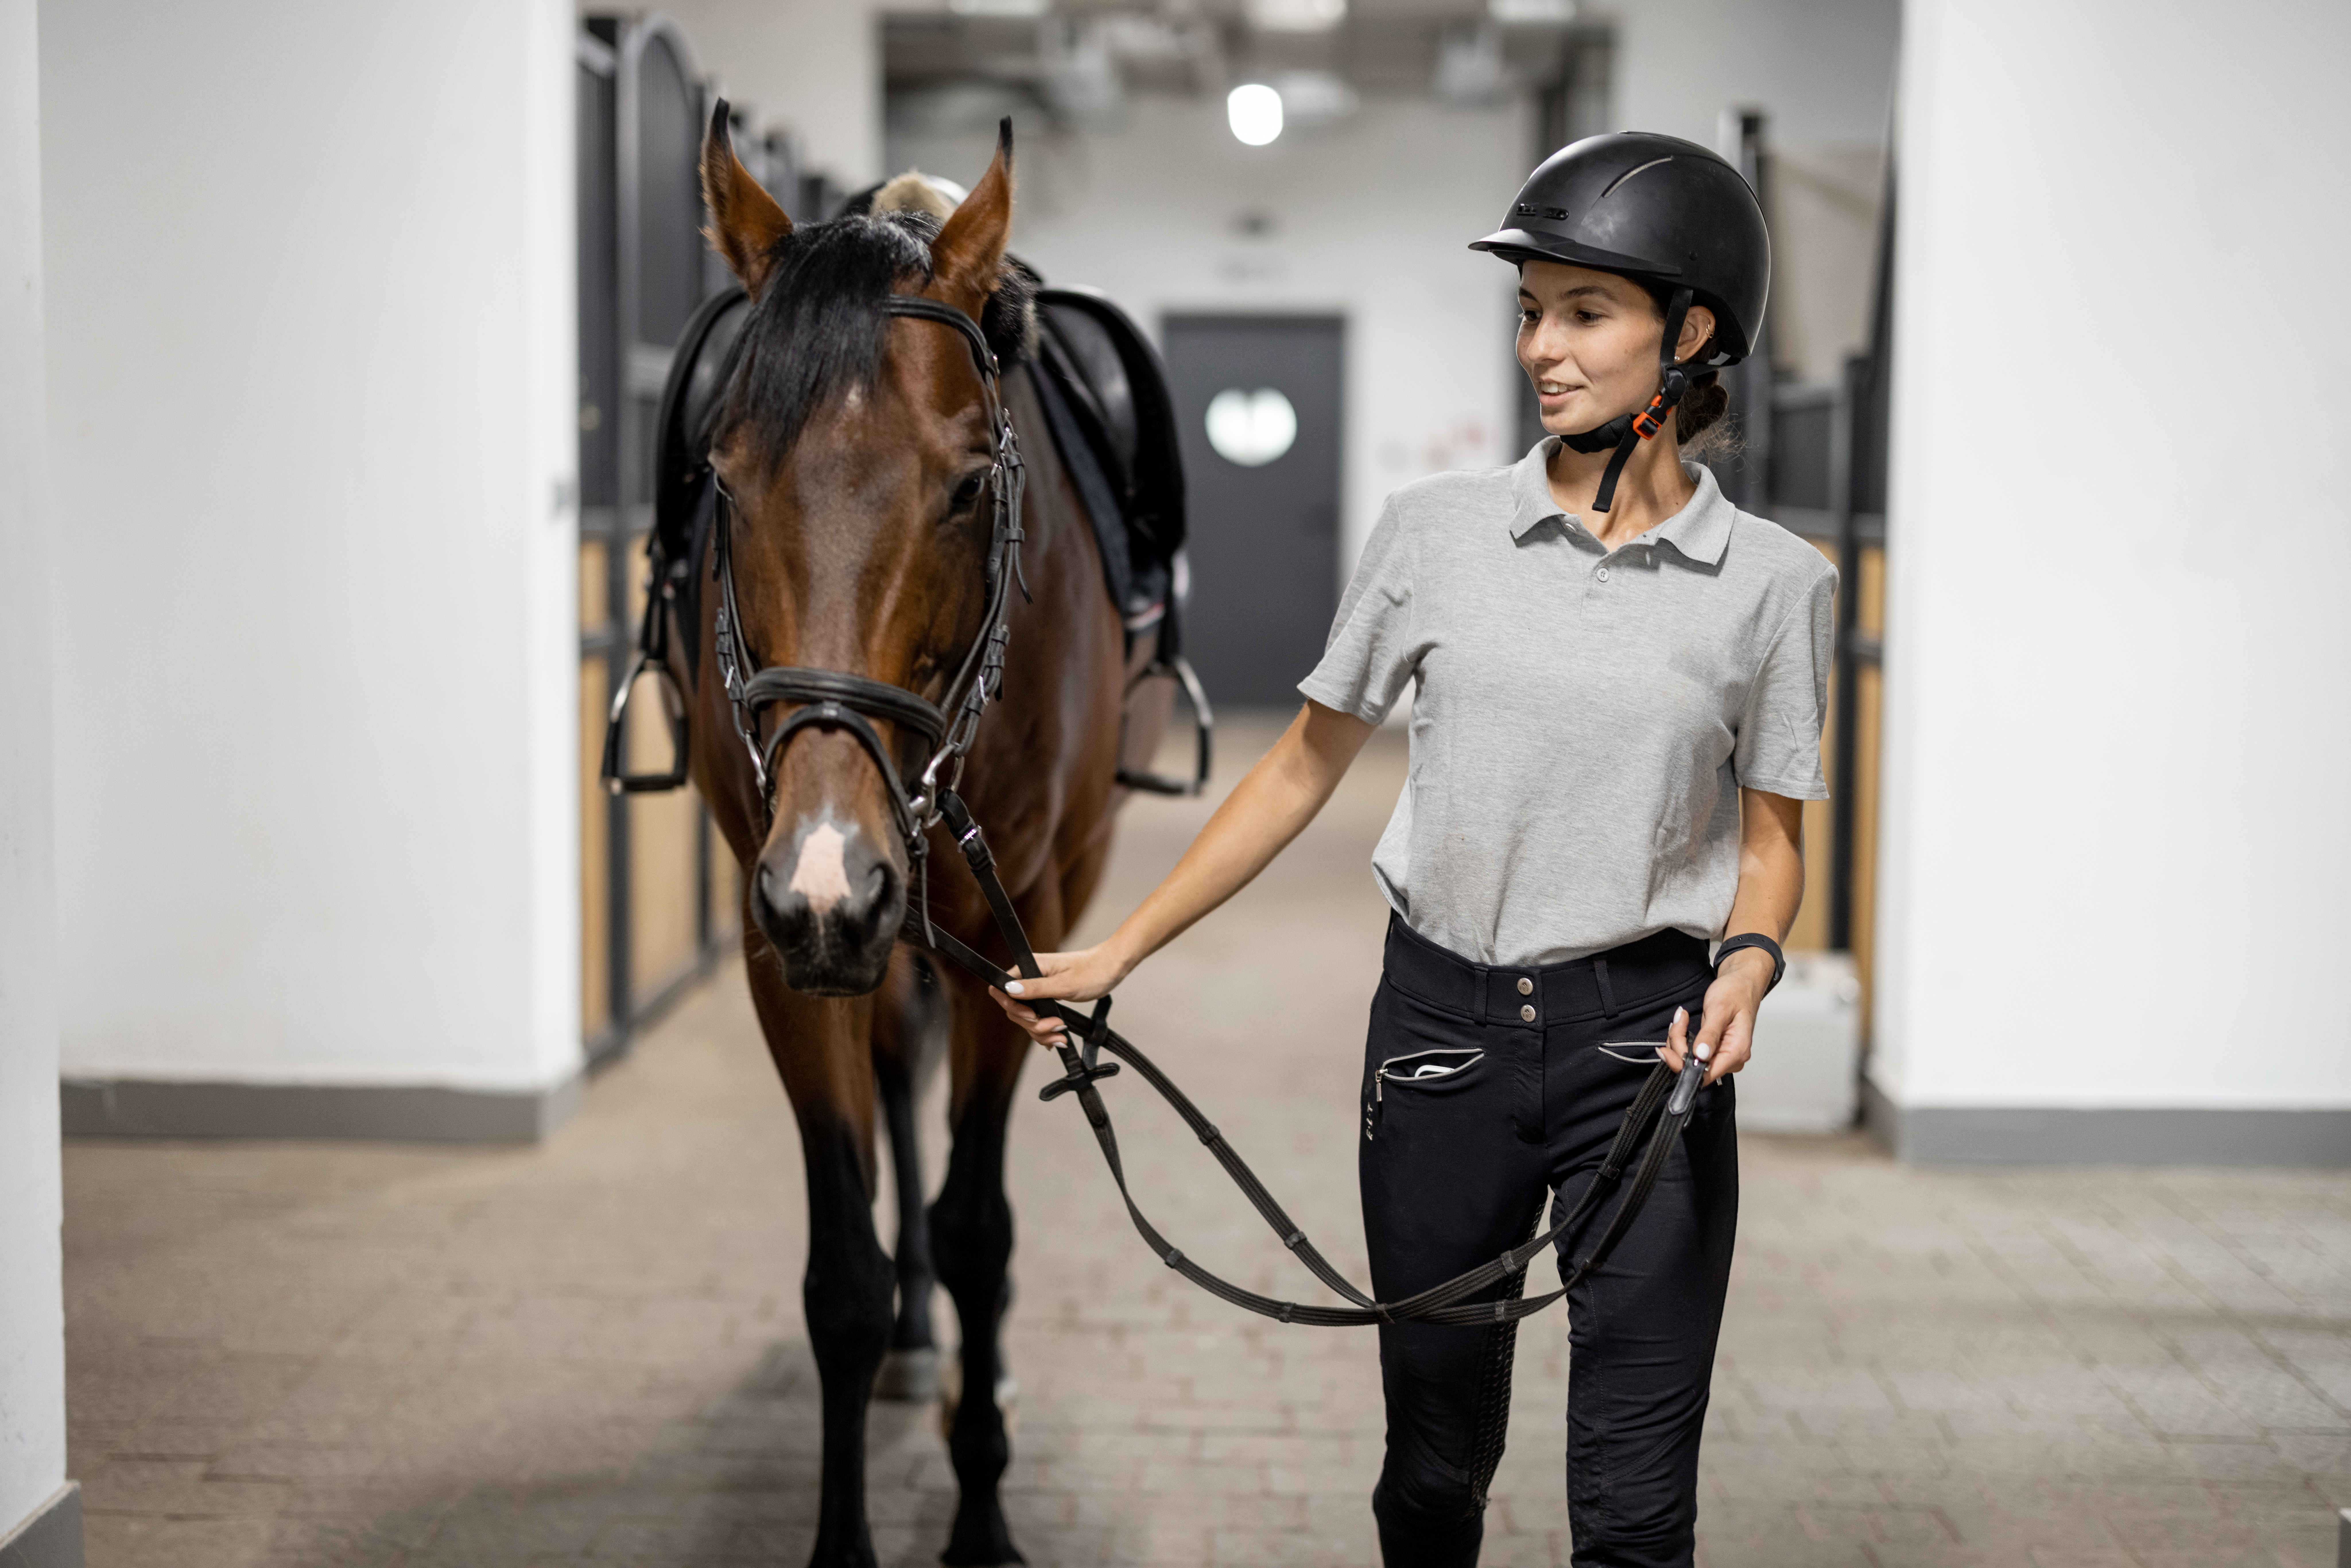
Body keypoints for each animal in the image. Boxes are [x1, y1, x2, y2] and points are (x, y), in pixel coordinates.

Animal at [682, 108, 1154, 1567]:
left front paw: (983, 1513)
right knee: (897, 1087)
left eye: (964, 489)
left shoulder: (1028, 928)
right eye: (726, 480)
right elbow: (843, 1270)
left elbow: (980, 1229)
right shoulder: (782, 938)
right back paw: (915, 1341)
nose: (832, 871)